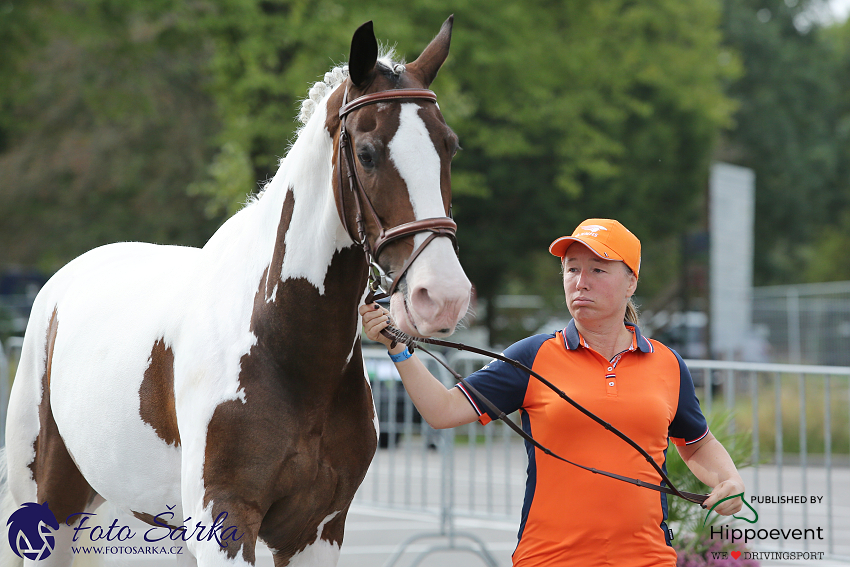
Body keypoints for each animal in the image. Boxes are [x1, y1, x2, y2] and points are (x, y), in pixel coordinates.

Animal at [0, 17, 468, 567]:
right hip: (50, 505)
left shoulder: (319, 528)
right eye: (368, 152)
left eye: (449, 146)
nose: (444, 296)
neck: (284, 346)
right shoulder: (225, 520)